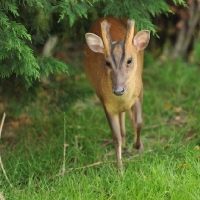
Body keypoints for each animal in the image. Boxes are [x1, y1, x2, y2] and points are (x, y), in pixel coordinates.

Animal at [83, 16, 150, 167]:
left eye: (129, 60)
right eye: (107, 62)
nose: (118, 89)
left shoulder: (139, 93)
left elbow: (138, 124)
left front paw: (138, 147)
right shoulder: (105, 103)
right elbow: (115, 137)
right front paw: (119, 167)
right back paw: (125, 140)